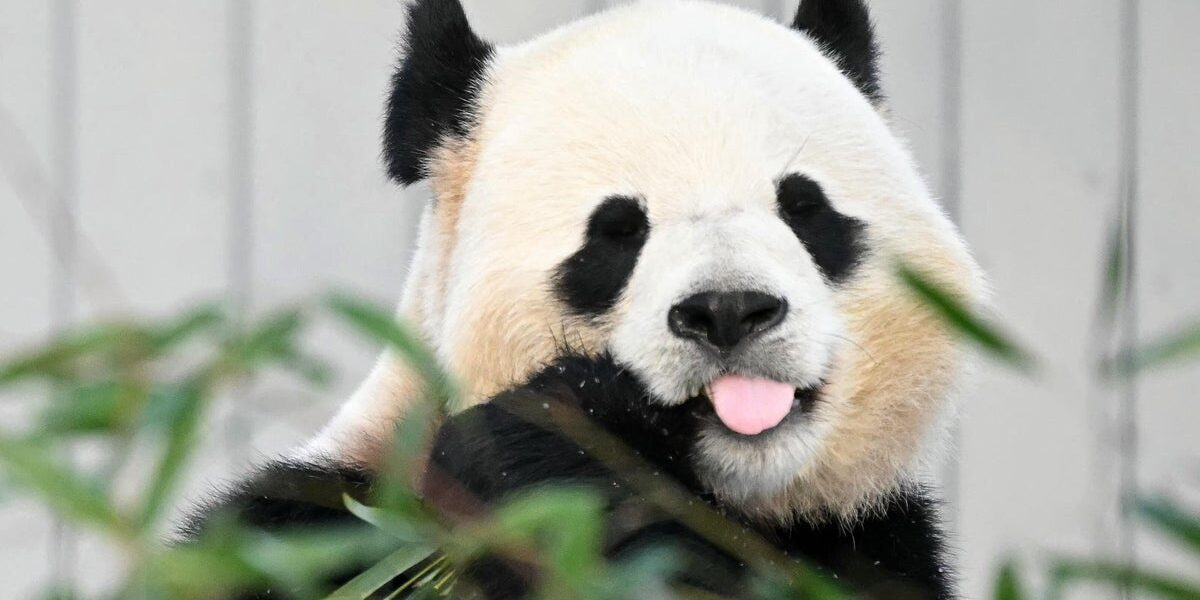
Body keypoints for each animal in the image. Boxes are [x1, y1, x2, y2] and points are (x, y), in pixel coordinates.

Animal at [185, 0, 986, 598]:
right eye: (617, 232)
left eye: (803, 208)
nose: (728, 310)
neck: (737, 495)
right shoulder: (319, 528)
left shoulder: (875, 540)